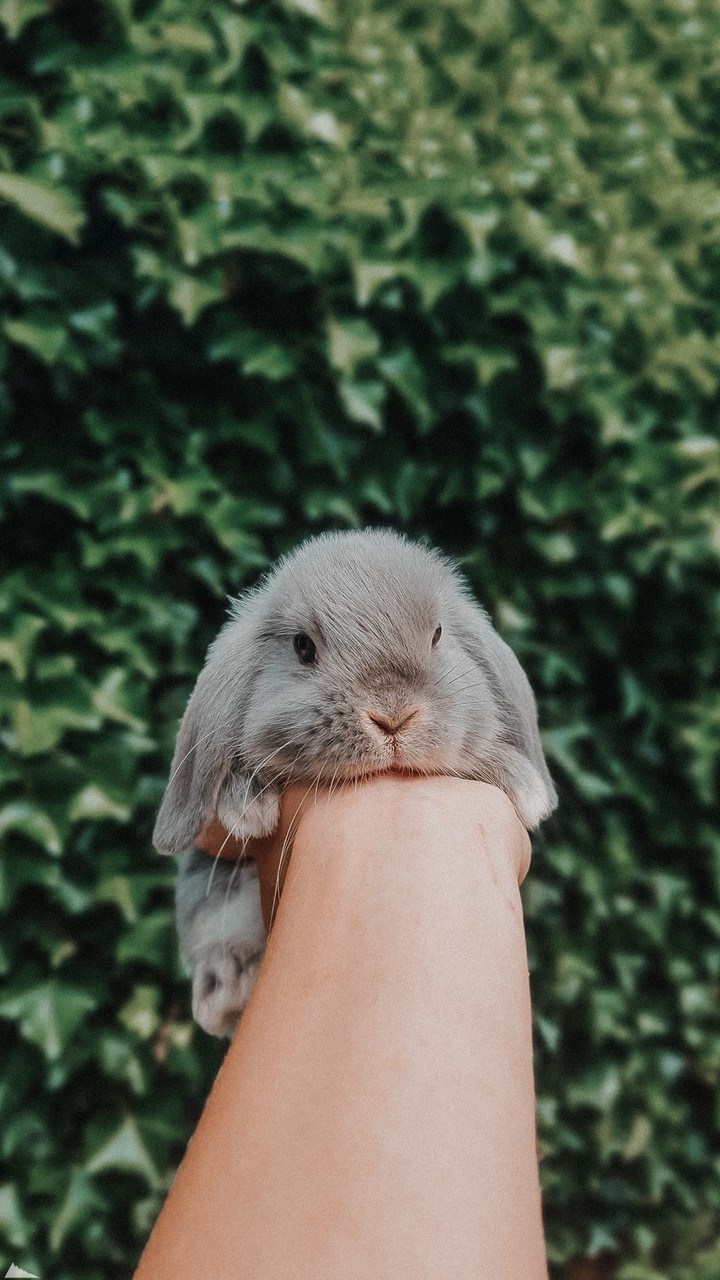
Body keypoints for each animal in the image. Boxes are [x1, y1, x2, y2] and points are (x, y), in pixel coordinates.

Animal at [154, 528, 557, 1036]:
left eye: (438, 635)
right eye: (302, 646)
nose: (392, 716)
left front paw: (524, 785)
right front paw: (247, 805)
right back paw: (221, 994)